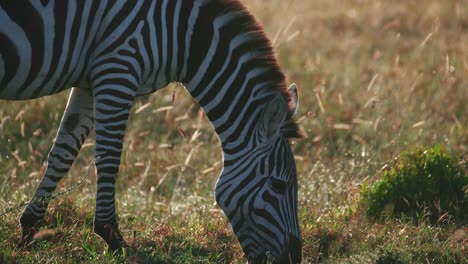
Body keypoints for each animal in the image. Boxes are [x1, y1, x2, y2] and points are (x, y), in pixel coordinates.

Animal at [0, 0, 304, 262]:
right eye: (278, 185)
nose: (293, 258)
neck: (185, 37)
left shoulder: (90, 81)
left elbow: (64, 151)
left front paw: (29, 229)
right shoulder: (118, 68)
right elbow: (109, 159)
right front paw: (113, 238)